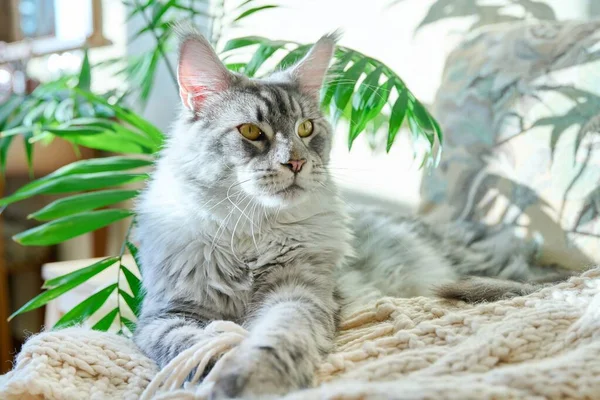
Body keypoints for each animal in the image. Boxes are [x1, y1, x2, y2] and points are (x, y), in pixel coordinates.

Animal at [134, 26, 576, 398]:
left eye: (306, 129)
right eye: (251, 132)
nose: (295, 163)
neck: (252, 233)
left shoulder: (300, 292)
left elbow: (276, 338)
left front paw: (250, 377)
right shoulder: (166, 314)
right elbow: (193, 344)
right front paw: (215, 364)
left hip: (489, 266)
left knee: (557, 280)